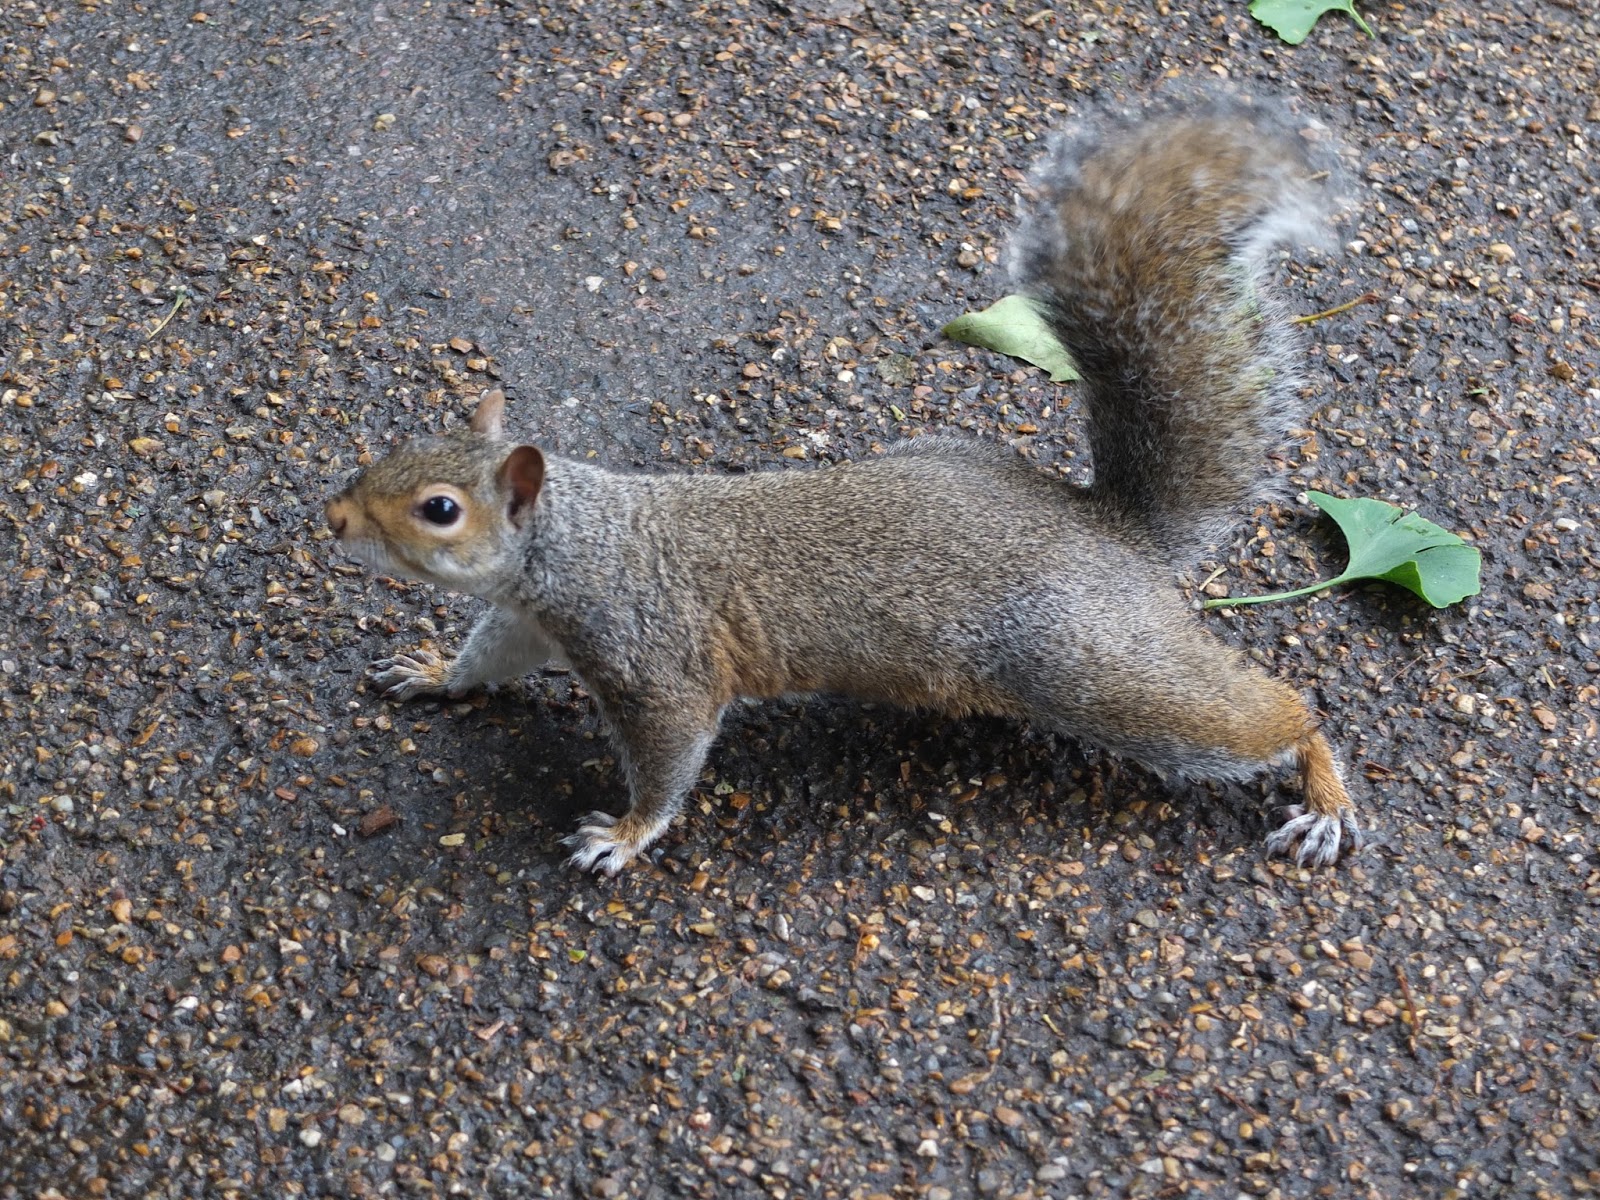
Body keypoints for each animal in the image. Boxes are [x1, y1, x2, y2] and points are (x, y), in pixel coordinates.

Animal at [326, 105, 1361, 875]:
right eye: (397, 446)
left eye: (440, 510)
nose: (333, 518)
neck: (577, 541)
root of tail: (1115, 531)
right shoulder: (529, 619)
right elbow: (487, 659)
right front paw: (434, 671)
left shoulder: (656, 658)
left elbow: (670, 753)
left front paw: (623, 833)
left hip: (1085, 662)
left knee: (1270, 712)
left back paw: (1321, 789)